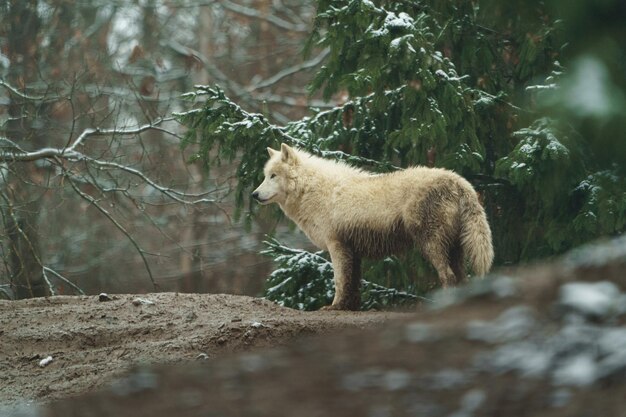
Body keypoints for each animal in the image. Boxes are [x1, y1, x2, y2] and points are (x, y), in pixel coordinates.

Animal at [250, 143, 492, 308]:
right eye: (265, 176)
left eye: (273, 176)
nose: (254, 195)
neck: (312, 189)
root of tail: (459, 182)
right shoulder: (352, 251)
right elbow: (353, 285)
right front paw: (348, 309)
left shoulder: (337, 245)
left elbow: (339, 281)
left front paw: (333, 307)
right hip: (453, 249)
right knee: (462, 279)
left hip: (431, 245)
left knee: (448, 277)